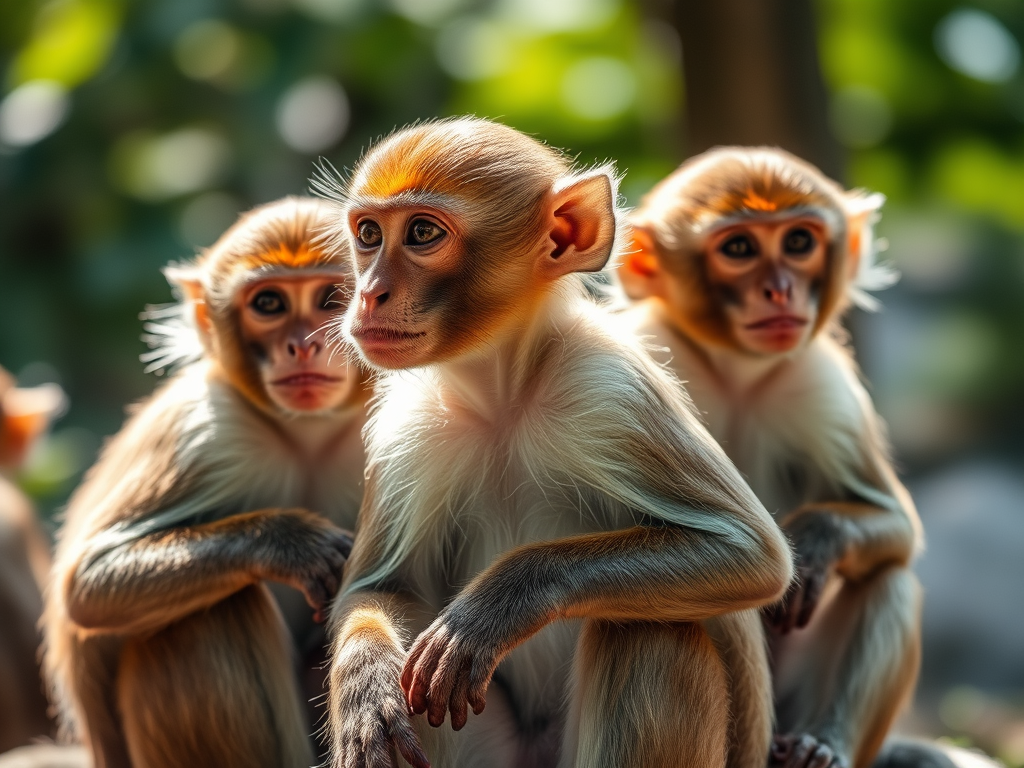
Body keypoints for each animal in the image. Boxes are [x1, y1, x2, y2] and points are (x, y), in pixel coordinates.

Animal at [42, 196, 370, 768]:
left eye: (330, 298)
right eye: (269, 304)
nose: (303, 346)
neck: (307, 436)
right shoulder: (204, 429)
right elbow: (88, 584)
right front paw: (290, 543)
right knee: (211, 610)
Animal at [316, 117, 794, 768]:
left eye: (421, 233)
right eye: (368, 234)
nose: (368, 294)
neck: (502, 394)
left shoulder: (609, 391)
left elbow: (750, 552)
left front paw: (496, 605)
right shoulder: (404, 430)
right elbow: (383, 587)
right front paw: (366, 684)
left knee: (649, 630)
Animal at [616, 147, 923, 768]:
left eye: (799, 241)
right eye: (739, 248)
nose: (780, 290)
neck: (737, 372)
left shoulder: (822, 385)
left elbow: (898, 525)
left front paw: (819, 538)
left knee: (888, 577)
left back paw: (819, 744)